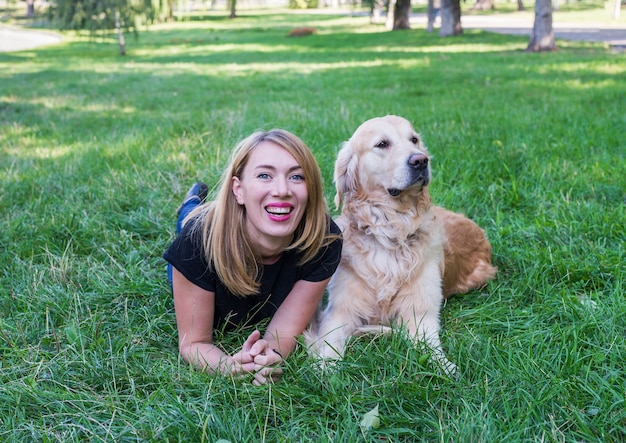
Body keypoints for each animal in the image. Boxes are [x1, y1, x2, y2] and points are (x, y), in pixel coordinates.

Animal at [308, 115, 492, 374]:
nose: (421, 160)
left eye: (414, 140)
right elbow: (330, 343)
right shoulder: (339, 311)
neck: (391, 229)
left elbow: (431, 348)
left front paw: (447, 368)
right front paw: (325, 367)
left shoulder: (421, 313)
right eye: (382, 144)